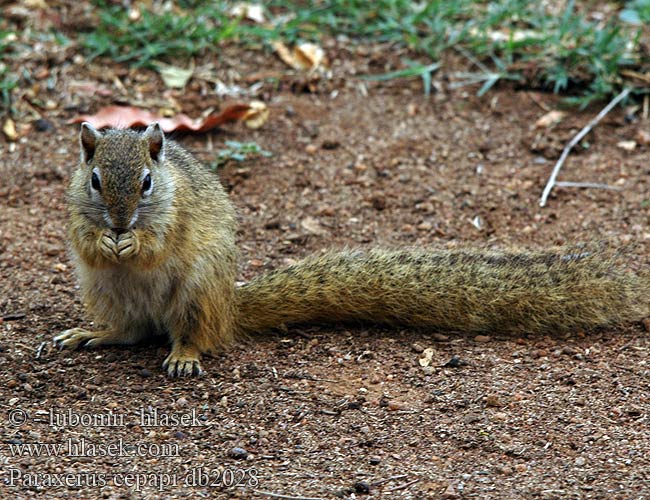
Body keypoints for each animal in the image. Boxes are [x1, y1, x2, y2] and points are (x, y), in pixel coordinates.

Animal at [54, 123, 648, 376]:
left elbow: (157, 244)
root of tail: (230, 305)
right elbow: (83, 237)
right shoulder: (75, 212)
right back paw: (91, 333)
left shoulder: (175, 216)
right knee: (131, 331)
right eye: (95, 179)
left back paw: (183, 355)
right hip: (102, 290)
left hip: (197, 293)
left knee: (192, 335)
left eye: (148, 182)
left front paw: (134, 241)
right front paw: (105, 239)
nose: (121, 220)